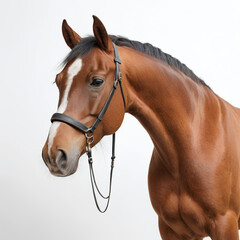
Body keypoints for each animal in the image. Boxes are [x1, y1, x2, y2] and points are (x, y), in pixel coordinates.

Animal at [42, 15, 240, 239]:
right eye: (58, 81)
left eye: (97, 81)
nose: (53, 154)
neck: (195, 141)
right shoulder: (171, 229)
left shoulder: (225, 226)